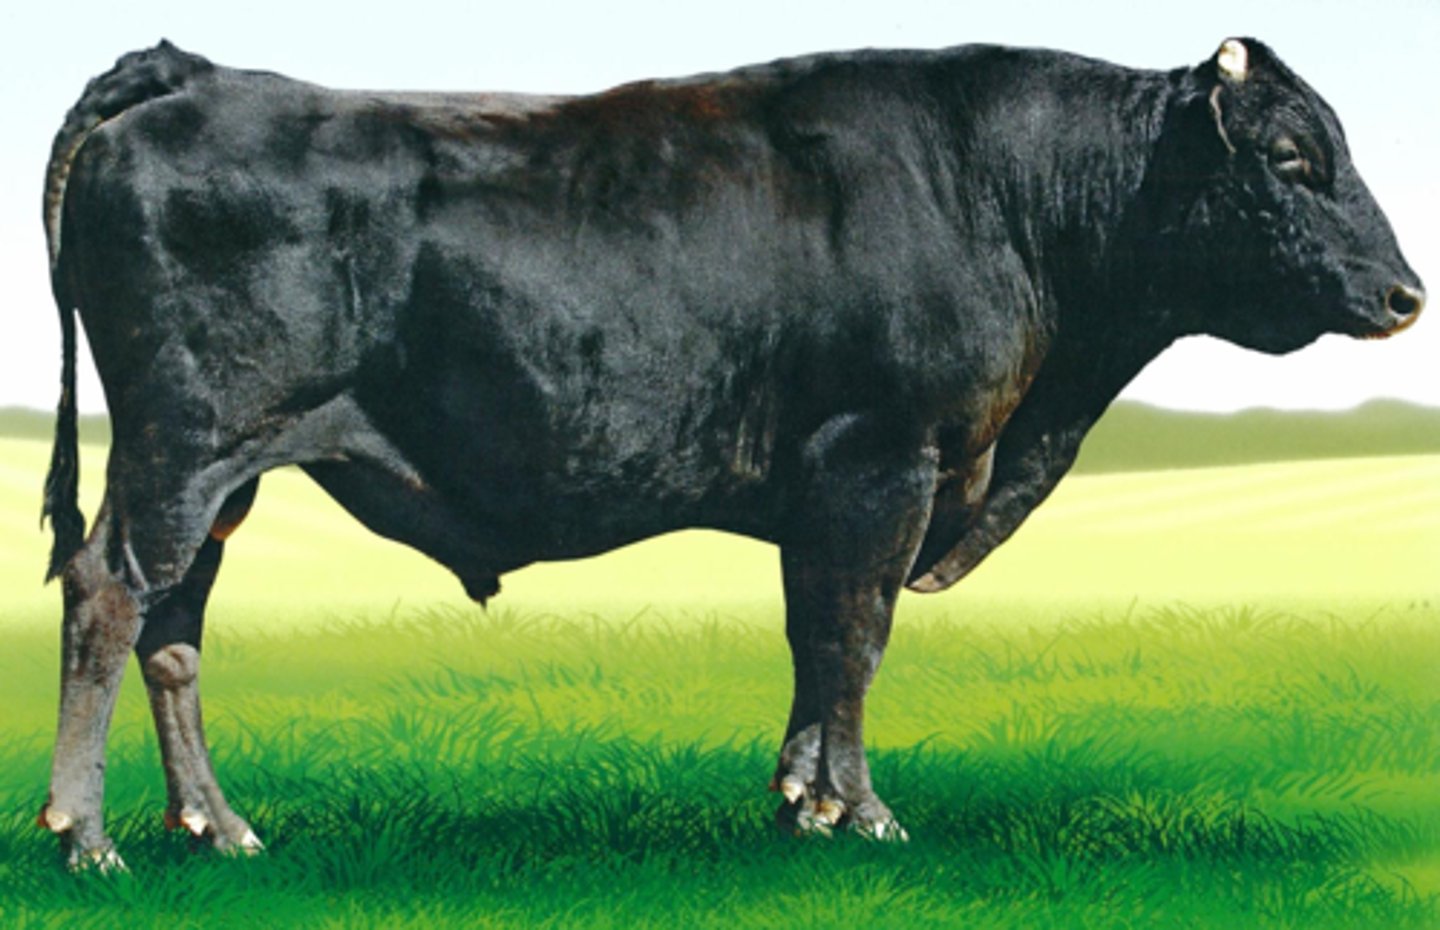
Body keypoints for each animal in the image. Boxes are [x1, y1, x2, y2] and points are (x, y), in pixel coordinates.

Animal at [37, 37, 1423, 869]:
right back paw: (86, 835)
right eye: (1293, 156)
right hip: (182, 449)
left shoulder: (834, 493)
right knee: (109, 598)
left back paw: (218, 827)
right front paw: (865, 811)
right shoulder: (884, 461)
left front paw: (803, 799)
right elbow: (855, 636)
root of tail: (193, 72)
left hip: (223, 474)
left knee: (175, 632)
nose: (1407, 293)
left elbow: (819, 640)